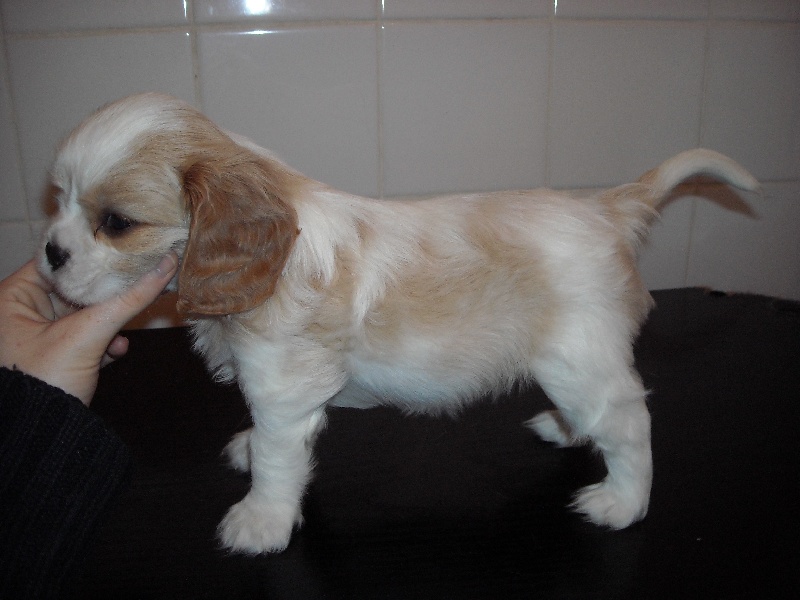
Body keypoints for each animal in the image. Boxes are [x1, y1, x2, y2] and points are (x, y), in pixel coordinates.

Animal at [39, 92, 758, 554]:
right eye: (59, 202)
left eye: (117, 224)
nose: (49, 253)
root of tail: (606, 209)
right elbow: (274, 441)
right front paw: (249, 456)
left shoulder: (282, 383)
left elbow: (277, 455)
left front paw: (260, 523)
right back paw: (563, 429)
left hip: (578, 362)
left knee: (630, 423)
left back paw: (622, 502)